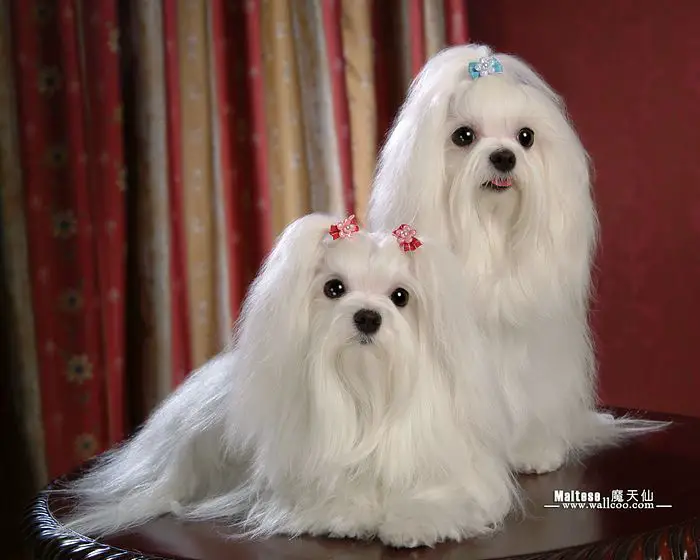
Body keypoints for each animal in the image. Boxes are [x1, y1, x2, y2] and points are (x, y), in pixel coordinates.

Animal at [63, 213, 516, 548]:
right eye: (334, 288)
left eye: (400, 297)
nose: (367, 316)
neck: (367, 396)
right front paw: (348, 513)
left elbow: (439, 495)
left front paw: (415, 521)